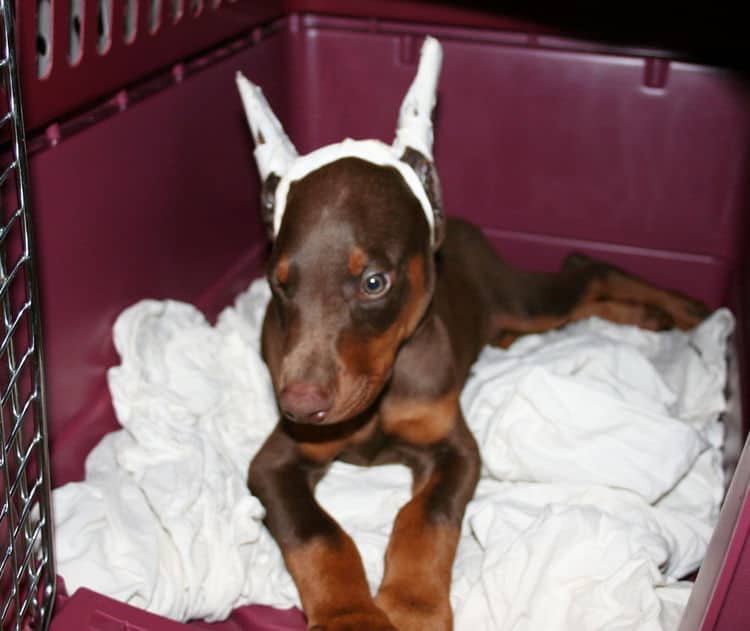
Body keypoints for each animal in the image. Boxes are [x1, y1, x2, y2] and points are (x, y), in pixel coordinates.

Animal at [236, 40, 712, 631]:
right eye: (279, 285)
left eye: (374, 282)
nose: (300, 406)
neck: (382, 391)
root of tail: (462, 225)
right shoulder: (277, 462)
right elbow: (317, 532)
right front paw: (354, 616)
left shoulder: (453, 447)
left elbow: (426, 516)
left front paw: (411, 607)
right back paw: (651, 317)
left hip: (521, 301)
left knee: (586, 270)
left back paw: (681, 308)